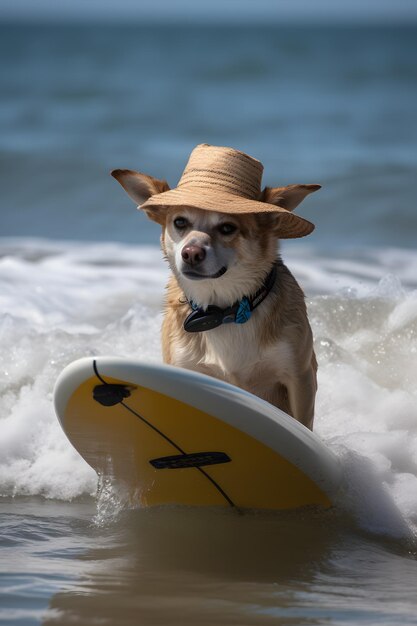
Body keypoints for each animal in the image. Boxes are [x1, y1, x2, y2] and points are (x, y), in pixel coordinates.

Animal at [112, 144, 320, 432]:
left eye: (227, 227)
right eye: (180, 222)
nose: (191, 253)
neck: (226, 309)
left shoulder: (299, 378)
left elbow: (302, 425)